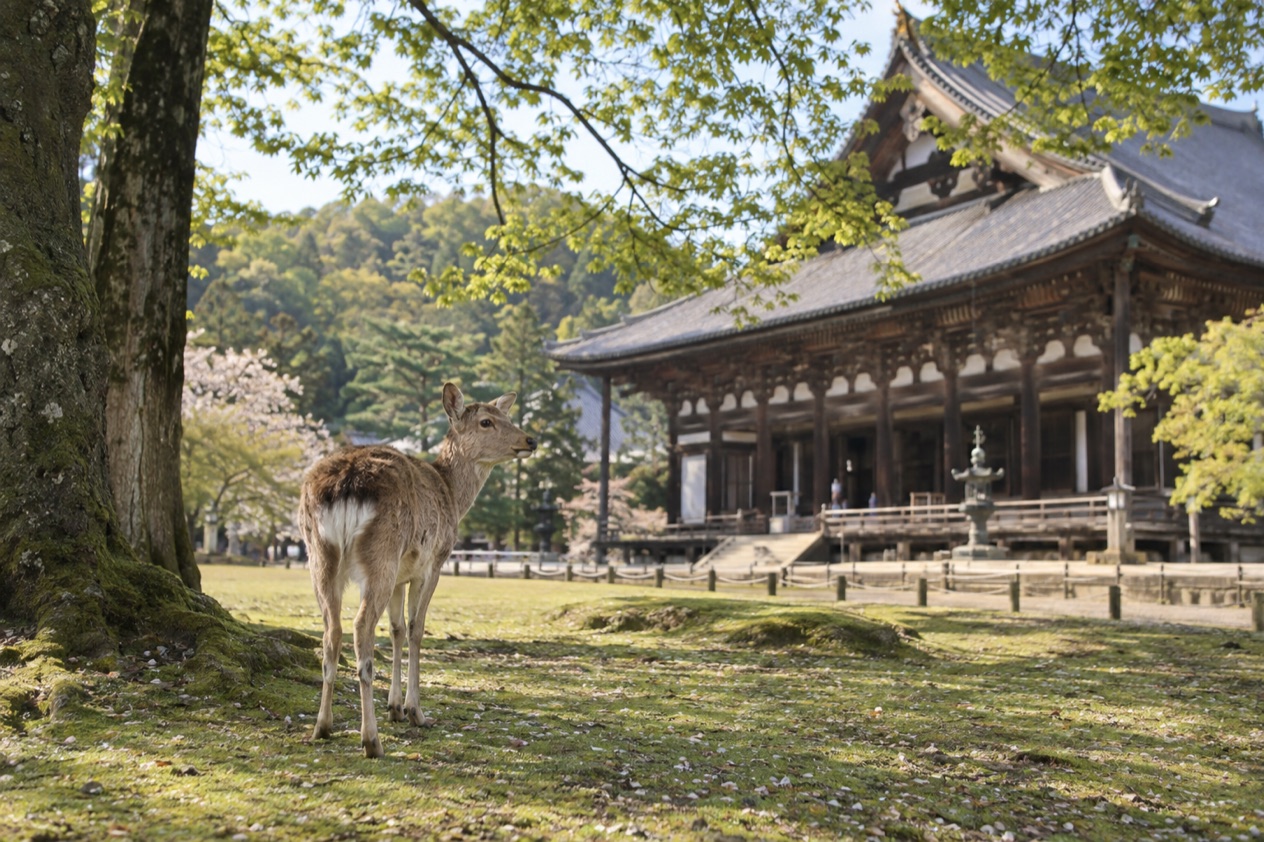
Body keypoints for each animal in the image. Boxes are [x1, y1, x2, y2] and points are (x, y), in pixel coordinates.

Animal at [298, 382, 537, 757]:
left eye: (507, 416)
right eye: (486, 421)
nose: (530, 440)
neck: (453, 495)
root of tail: (345, 483)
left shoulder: (401, 575)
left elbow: (395, 629)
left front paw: (394, 707)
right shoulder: (432, 563)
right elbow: (415, 629)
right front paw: (415, 712)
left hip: (319, 555)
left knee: (331, 630)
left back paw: (323, 726)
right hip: (381, 554)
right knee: (360, 626)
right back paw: (371, 740)